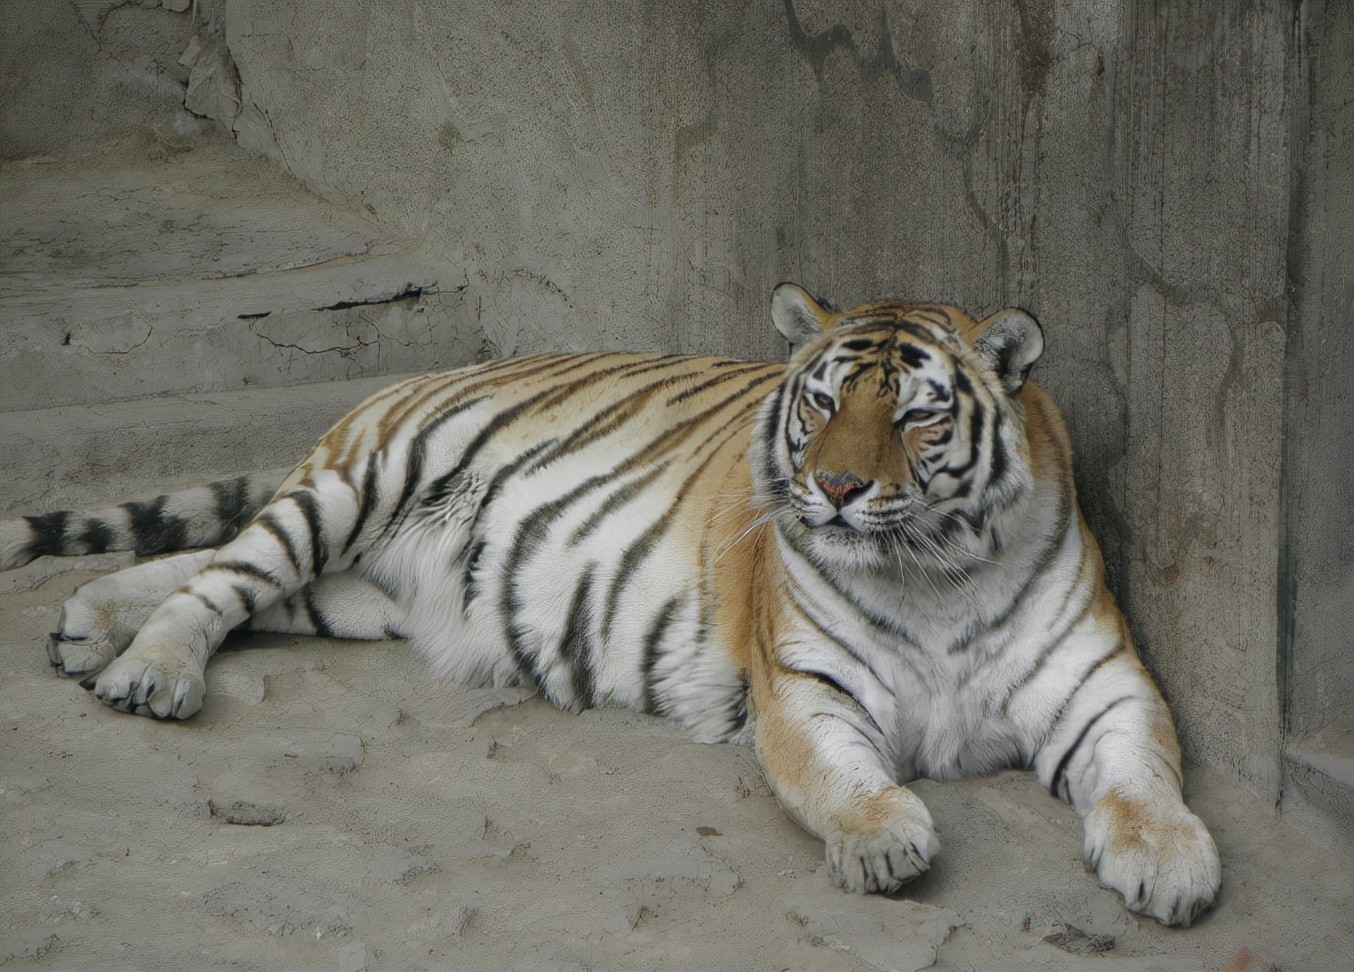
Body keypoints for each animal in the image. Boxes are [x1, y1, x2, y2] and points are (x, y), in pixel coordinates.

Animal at [0, 283, 1220, 926]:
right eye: (822, 403)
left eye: (916, 415)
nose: (833, 487)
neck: (935, 571)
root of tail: (440, 369)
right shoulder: (807, 691)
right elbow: (842, 777)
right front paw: (884, 840)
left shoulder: (1105, 687)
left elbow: (1143, 777)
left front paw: (1171, 863)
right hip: (357, 484)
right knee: (224, 572)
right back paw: (146, 671)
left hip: (358, 592)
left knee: (221, 572)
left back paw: (90, 625)